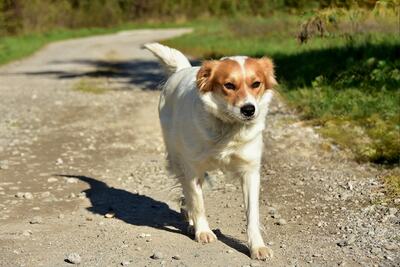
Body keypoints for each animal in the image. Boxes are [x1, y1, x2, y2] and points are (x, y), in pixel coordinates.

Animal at [145, 43, 278, 260]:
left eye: (256, 83)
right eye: (229, 85)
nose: (249, 109)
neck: (227, 128)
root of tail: (182, 70)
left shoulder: (250, 171)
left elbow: (252, 215)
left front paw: (257, 246)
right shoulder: (192, 169)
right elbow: (197, 202)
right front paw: (203, 231)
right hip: (178, 160)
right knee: (187, 195)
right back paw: (192, 224)